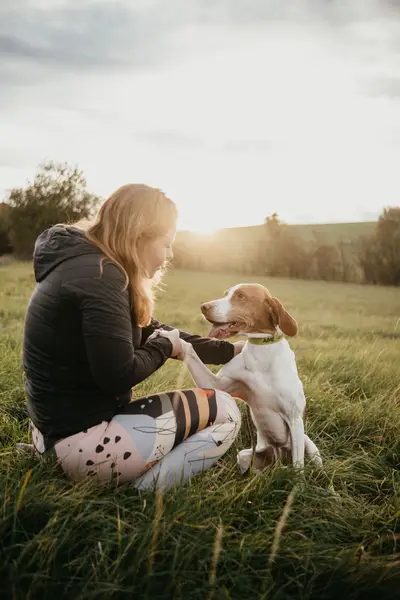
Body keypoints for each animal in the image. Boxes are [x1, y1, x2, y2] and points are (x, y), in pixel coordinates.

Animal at [159, 284, 322, 476]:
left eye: (241, 296)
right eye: (225, 294)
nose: (203, 307)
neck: (262, 351)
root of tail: (278, 457)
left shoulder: (294, 418)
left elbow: (298, 467)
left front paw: (297, 481)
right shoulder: (216, 384)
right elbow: (190, 349)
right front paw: (168, 335)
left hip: (309, 445)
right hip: (245, 456)